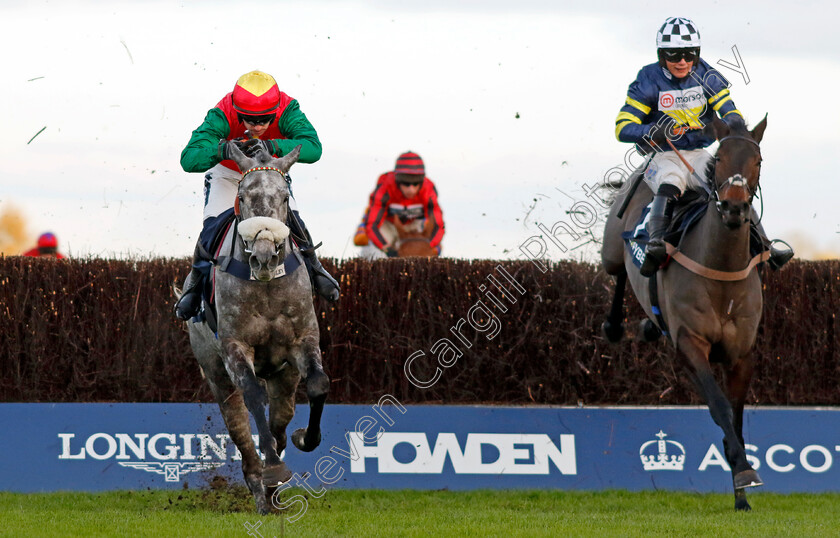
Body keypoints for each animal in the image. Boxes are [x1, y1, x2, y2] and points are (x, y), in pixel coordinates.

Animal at [180, 141, 328, 510]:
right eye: (243, 197)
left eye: (285, 197)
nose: (264, 255)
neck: (266, 284)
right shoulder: (235, 347)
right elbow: (253, 397)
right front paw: (272, 467)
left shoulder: (303, 340)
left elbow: (318, 385)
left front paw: (305, 438)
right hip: (215, 371)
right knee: (240, 424)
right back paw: (261, 486)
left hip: (284, 376)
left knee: (280, 417)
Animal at [600, 115, 772, 508]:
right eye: (719, 159)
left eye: (757, 161)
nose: (735, 208)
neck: (720, 269)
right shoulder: (692, 344)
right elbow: (721, 407)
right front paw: (744, 471)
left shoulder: (741, 354)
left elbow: (735, 416)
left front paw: (741, 494)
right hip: (613, 248)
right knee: (619, 273)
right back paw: (617, 323)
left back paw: (650, 326)